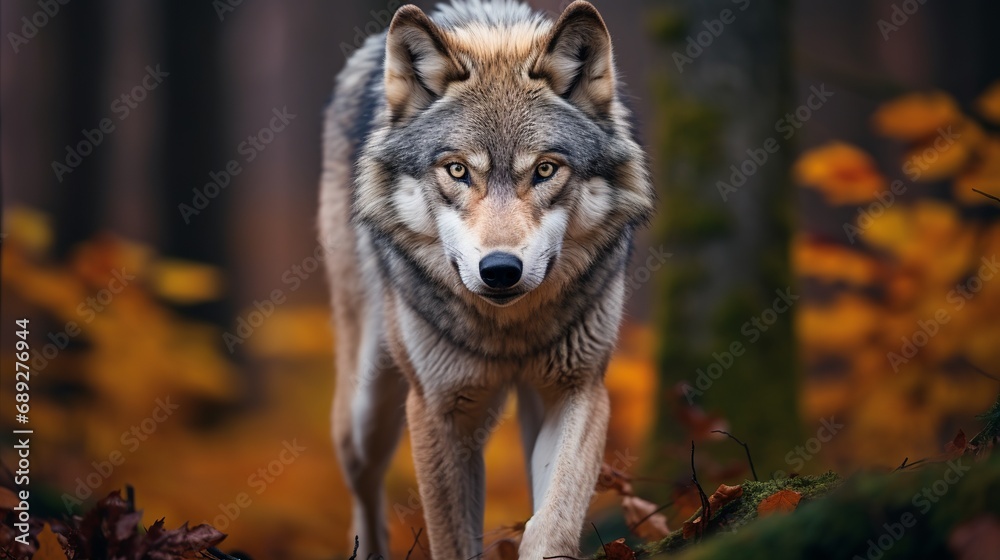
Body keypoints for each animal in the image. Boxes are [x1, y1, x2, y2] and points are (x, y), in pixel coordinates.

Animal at [319, 0, 654, 557]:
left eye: (545, 170)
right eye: (457, 170)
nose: (499, 270)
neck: (508, 332)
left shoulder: (578, 386)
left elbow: (552, 521)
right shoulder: (439, 410)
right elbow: (452, 540)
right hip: (364, 413)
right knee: (364, 493)